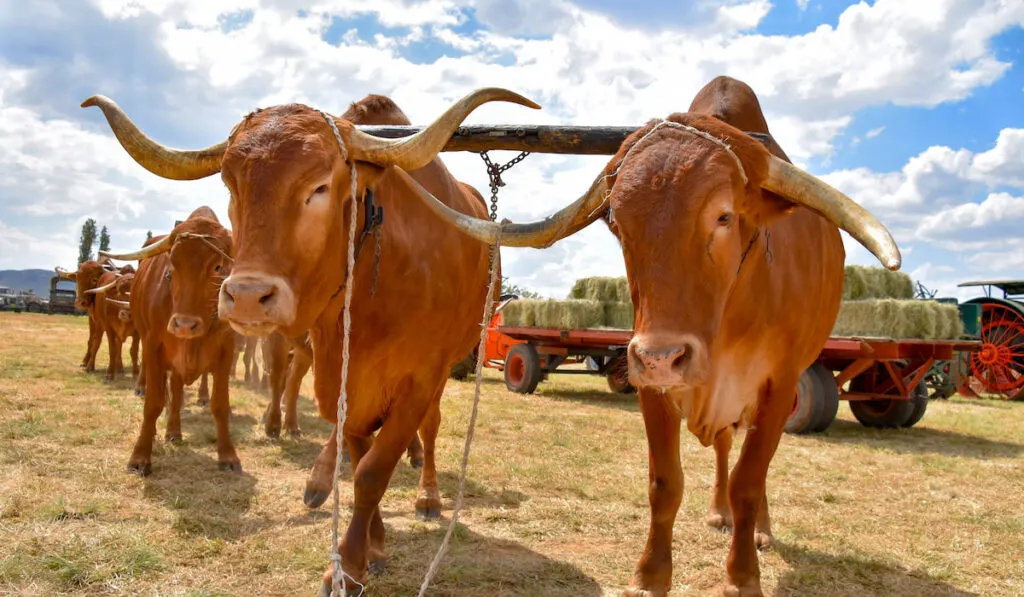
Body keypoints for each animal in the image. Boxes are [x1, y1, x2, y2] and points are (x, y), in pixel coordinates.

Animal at [83, 87, 536, 589]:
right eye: (231, 186)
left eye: (319, 186)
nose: (246, 296)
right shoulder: (341, 375)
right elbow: (359, 455)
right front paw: (373, 545)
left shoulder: (420, 376)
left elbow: (375, 469)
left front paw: (350, 564)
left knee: (430, 429)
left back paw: (428, 495)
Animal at [395, 75, 901, 597]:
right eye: (618, 223)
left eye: (723, 216)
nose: (664, 356)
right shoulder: (650, 383)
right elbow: (666, 482)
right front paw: (650, 576)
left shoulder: (778, 387)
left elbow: (749, 480)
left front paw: (742, 577)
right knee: (723, 447)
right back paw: (718, 513)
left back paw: (759, 530)